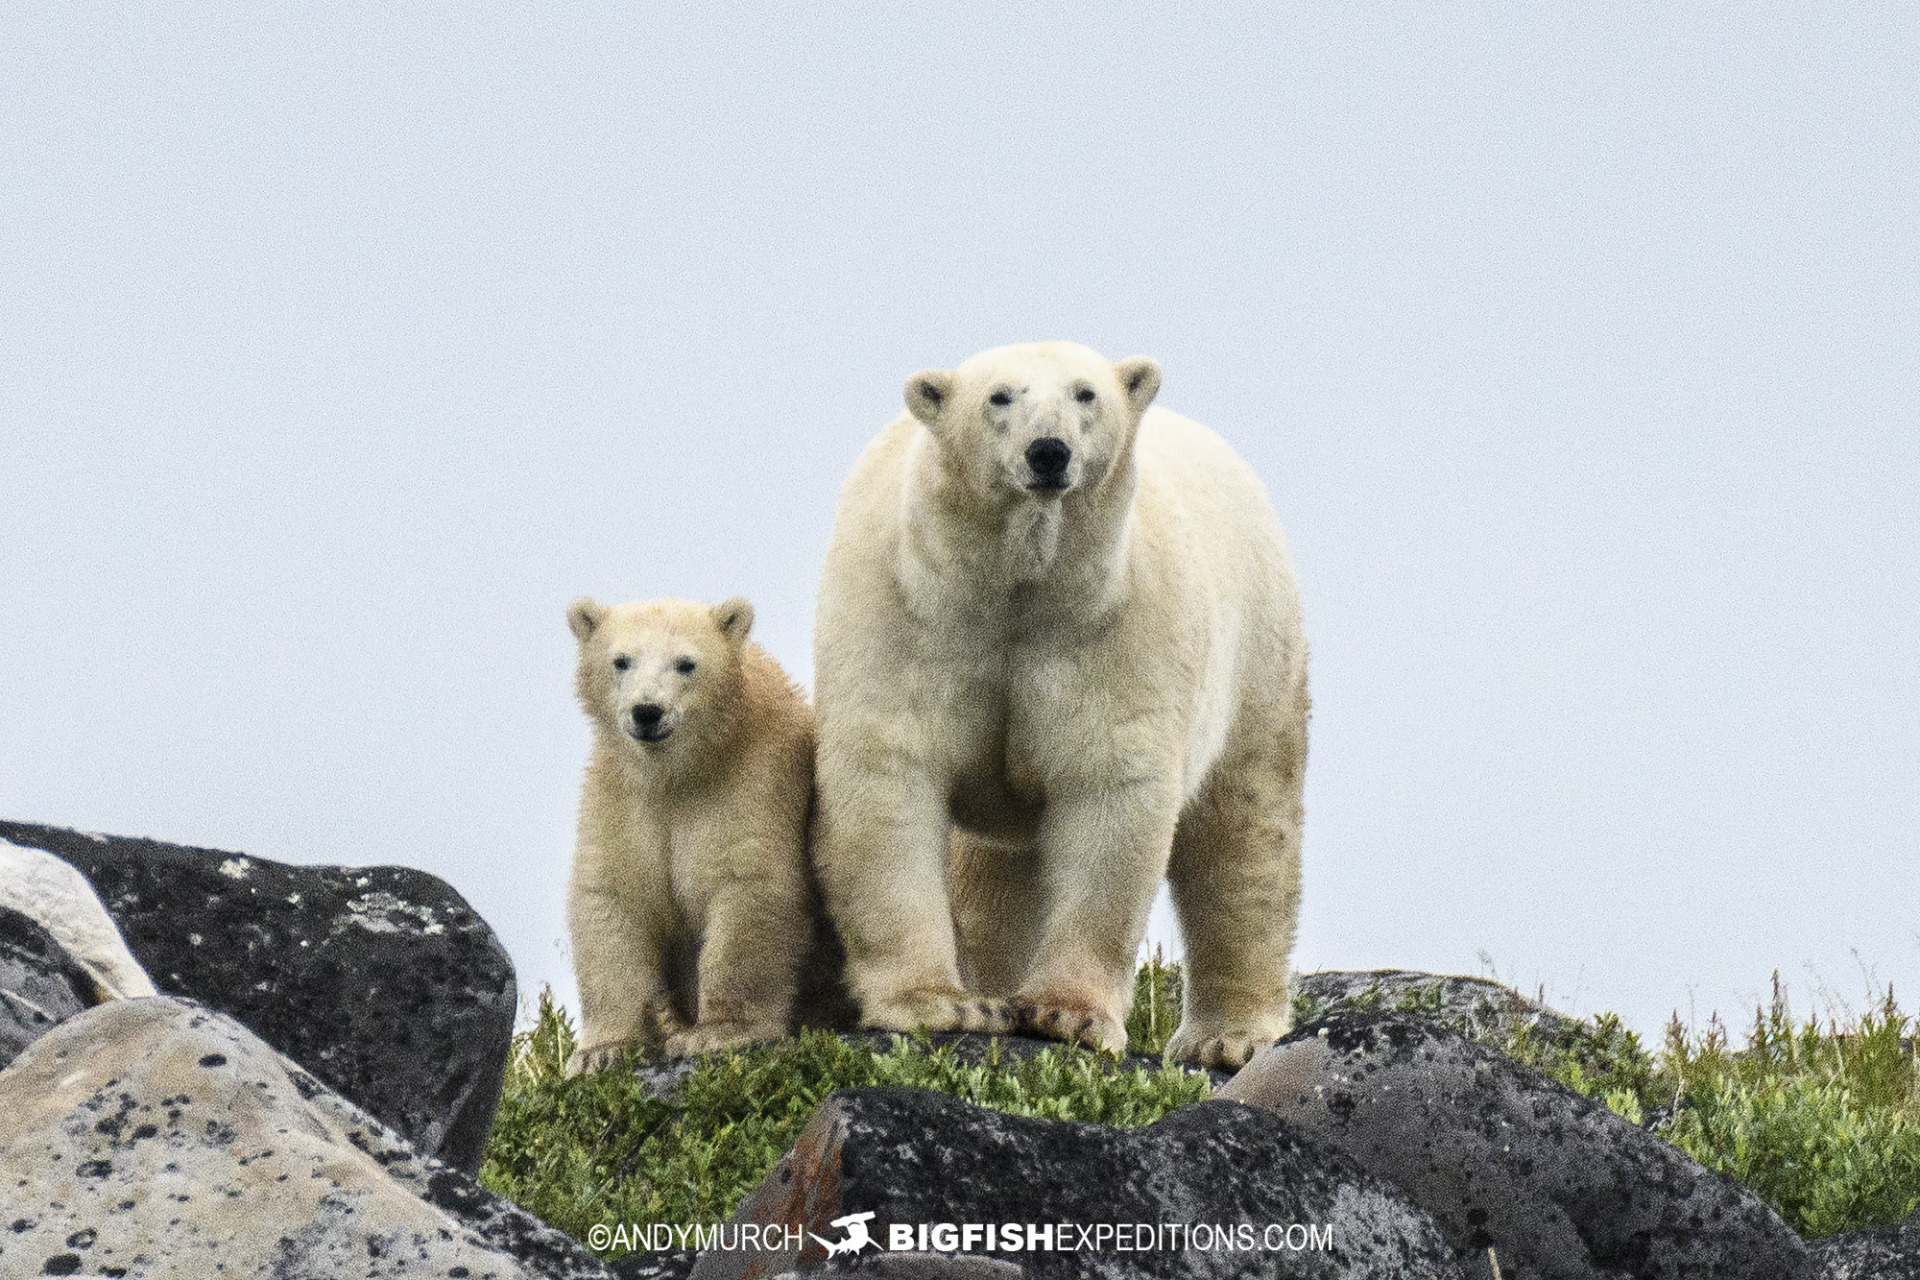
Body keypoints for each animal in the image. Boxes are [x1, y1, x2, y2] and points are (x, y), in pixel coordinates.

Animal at [565, 595, 818, 1073]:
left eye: (686, 664)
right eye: (621, 660)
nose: (647, 711)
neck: (677, 773)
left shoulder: (753, 783)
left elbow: (748, 886)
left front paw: (716, 1033)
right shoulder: (620, 798)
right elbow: (612, 896)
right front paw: (600, 1052)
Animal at [810, 341, 1309, 1068]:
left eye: (1085, 393)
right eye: (999, 396)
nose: (1048, 452)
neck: (1016, 589)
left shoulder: (1116, 635)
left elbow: (1107, 790)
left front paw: (1066, 1014)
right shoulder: (905, 618)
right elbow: (887, 776)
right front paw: (938, 1002)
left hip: (1256, 651)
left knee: (1244, 828)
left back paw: (1229, 1037)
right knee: (994, 872)